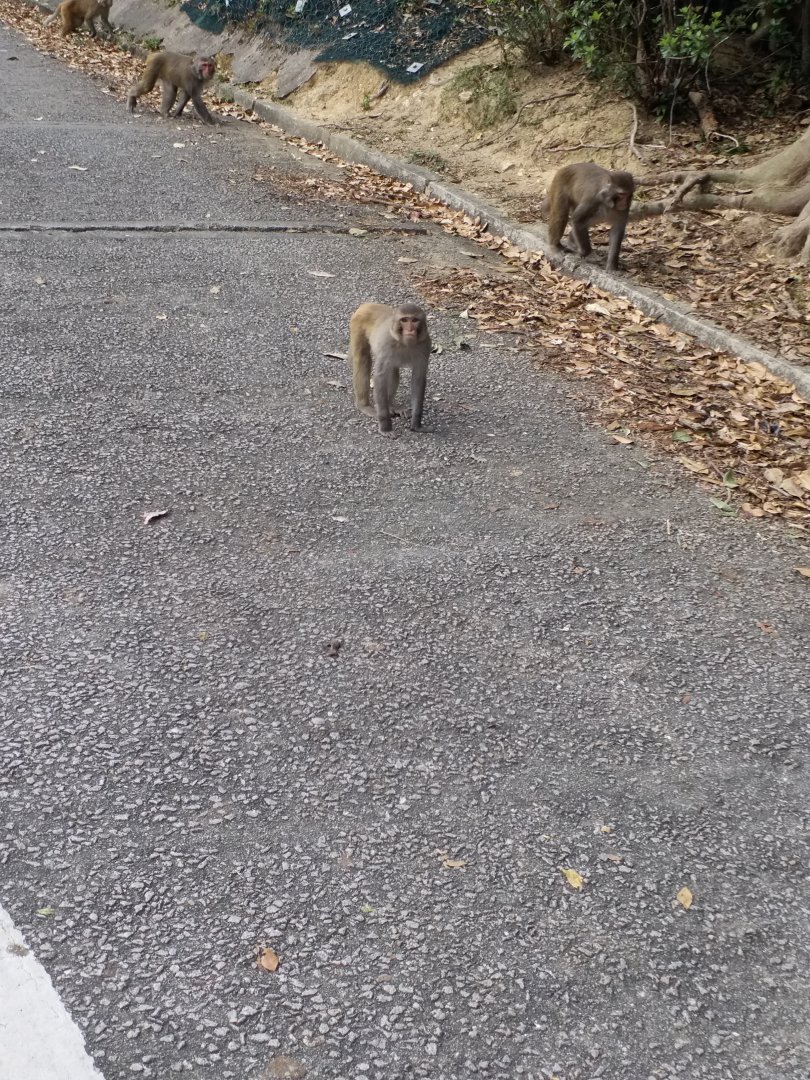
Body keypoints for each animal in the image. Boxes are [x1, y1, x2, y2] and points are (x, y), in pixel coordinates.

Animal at [349, 303, 431, 435]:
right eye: (404, 320)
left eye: (414, 320)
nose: (410, 329)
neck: (405, 343)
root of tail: (368, 304)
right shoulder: (386, 343)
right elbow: (380, 378)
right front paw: (386, 427)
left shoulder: (425, 345)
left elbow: (418, 379)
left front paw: (416, 424)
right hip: (357, 325)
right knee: (363, 360)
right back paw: (364, 405)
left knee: (393, 370)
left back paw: (392, 405)